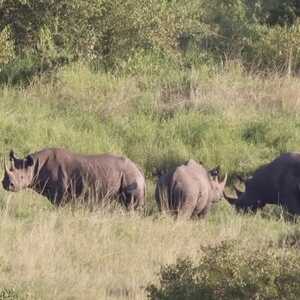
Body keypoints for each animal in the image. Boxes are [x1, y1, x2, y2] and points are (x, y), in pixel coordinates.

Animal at [1, 148, 146, 209]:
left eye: (21, 177)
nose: (6, 184)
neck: (35, 165)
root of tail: (140, 171)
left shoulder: (60, 195)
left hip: (131, 177)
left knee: (131, 206)